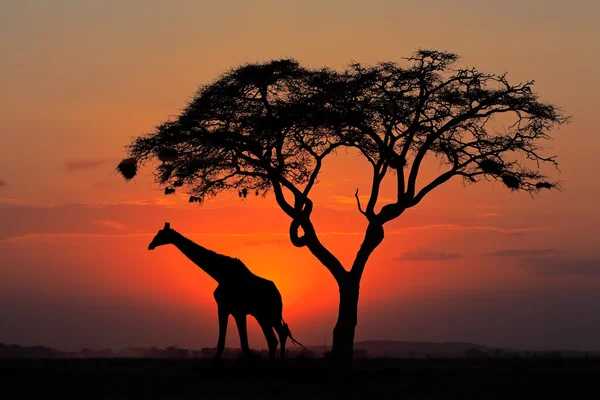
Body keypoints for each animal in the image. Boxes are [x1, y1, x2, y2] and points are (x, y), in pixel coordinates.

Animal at [148, 222, 302, 362]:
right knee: (275, 338)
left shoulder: (233, 310)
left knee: (279, 335)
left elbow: (238, 344)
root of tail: (279, 294)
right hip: (262, 315)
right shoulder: (229, 309)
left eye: (160, 234)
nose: (150, 245)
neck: (220, 274)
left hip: (270, 313)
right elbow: (229, 342)